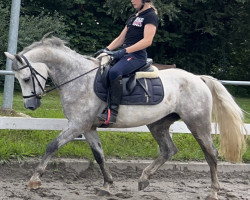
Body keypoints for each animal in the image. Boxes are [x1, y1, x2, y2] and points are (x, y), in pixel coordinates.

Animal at [3, 36, 246, 200]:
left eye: (26, 78)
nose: (31, 105)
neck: (77, 78)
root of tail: (198, 78)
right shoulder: (88, 127)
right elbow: (99, 156)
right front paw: (106, 186)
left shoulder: (77, 125)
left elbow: (52, 146)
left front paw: (34, 181)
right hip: (158, 124)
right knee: (168, 150)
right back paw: (144, 179)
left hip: (198, 123)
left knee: (211, 153)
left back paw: (213, 191)